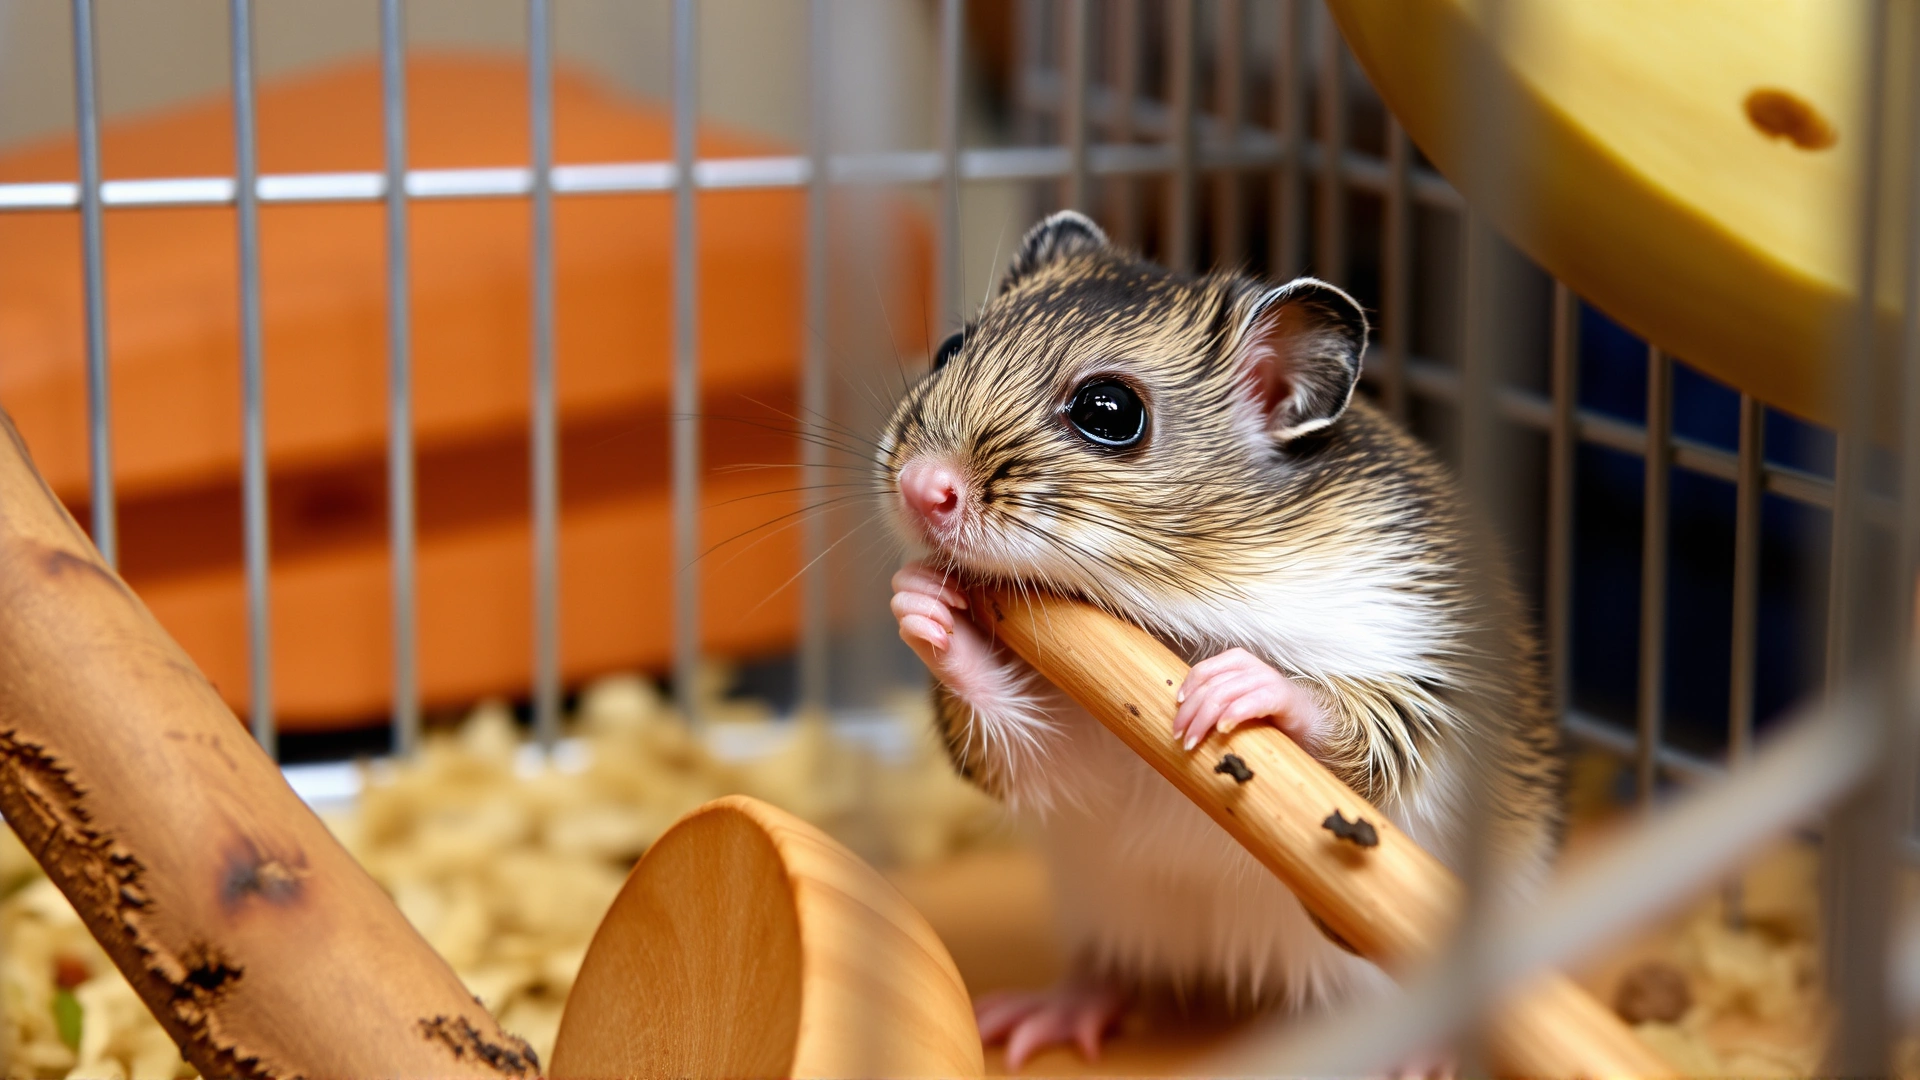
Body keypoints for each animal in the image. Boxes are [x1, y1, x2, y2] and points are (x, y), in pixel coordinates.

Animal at [878, 211, 1562, 1068]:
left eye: (1110, 413)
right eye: (949, 348)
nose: (918, 488)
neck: (1192, 585)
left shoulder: (1423, 667)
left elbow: (1363, 739)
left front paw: (1230, 688)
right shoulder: (1083, 755)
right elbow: (1018, 736)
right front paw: (918, 602)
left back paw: (1428, 1060)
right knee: (1113, 971)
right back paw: (1035, 1021)